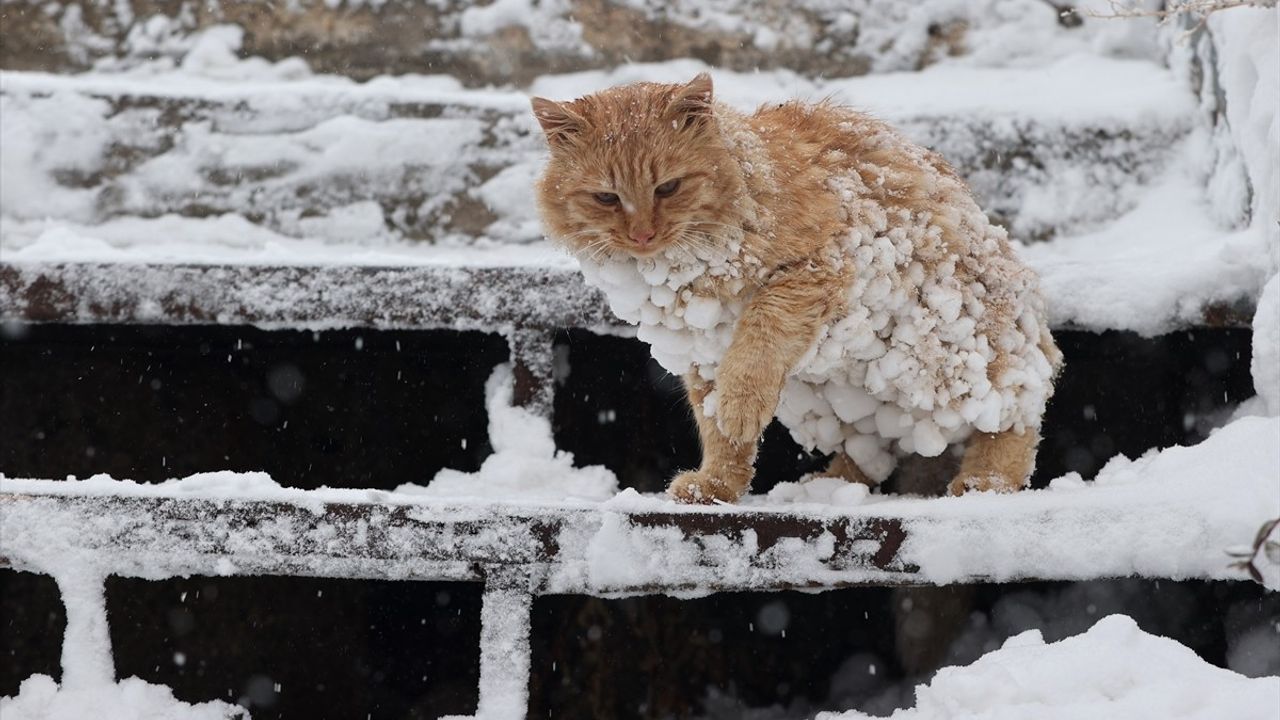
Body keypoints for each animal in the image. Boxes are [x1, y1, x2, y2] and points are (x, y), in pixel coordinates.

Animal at [529, 71, 1059, 499]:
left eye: (668, 188)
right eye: (606, 198)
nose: (642, 234)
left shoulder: (812, 272)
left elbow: (757, 347)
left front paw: (741, 408)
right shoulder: (703, 351)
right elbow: (719, 432)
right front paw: (717, 486)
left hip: (949, 360)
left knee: (1018, 413)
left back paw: (987, 482)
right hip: (840, 398)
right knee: (875, 452)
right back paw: (827, 487)